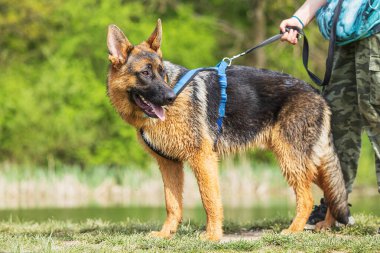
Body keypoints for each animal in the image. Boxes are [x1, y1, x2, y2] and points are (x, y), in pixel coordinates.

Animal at [105, 18, 348, 240]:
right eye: (145, 73)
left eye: (161, 71)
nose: (170, 97)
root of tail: (317, 94)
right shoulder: (169, 164)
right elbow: (172, 204)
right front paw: (166, 233)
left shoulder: (203, 160)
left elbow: (209, 200)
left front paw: (212, 235)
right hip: (306, 162)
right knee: (332, 191)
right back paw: (327, 225)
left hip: (291, 160)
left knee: (307, 198)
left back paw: (294, 230)